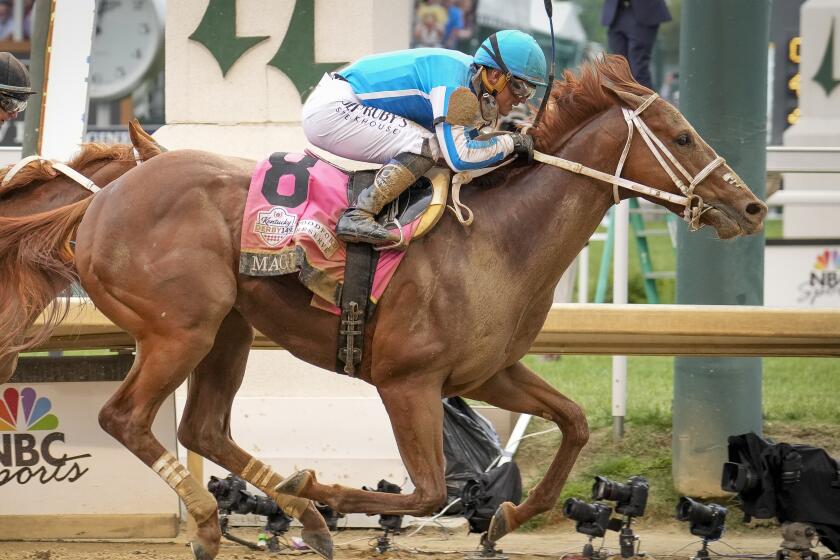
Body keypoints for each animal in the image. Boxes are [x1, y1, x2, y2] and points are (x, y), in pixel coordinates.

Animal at [0, 58, 764, 560]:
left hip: (229, 329)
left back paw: (296, 512)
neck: (498, 240)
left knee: (204, 426)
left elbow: (573, 424)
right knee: (125, 418)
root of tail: (104, 198)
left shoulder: (486, 374)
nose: (753, 207)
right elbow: (426, 493)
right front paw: (329, 488)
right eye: (684, 136)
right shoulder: (408, 383)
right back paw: (227, 519)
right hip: (179, 328)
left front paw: (506, 517)